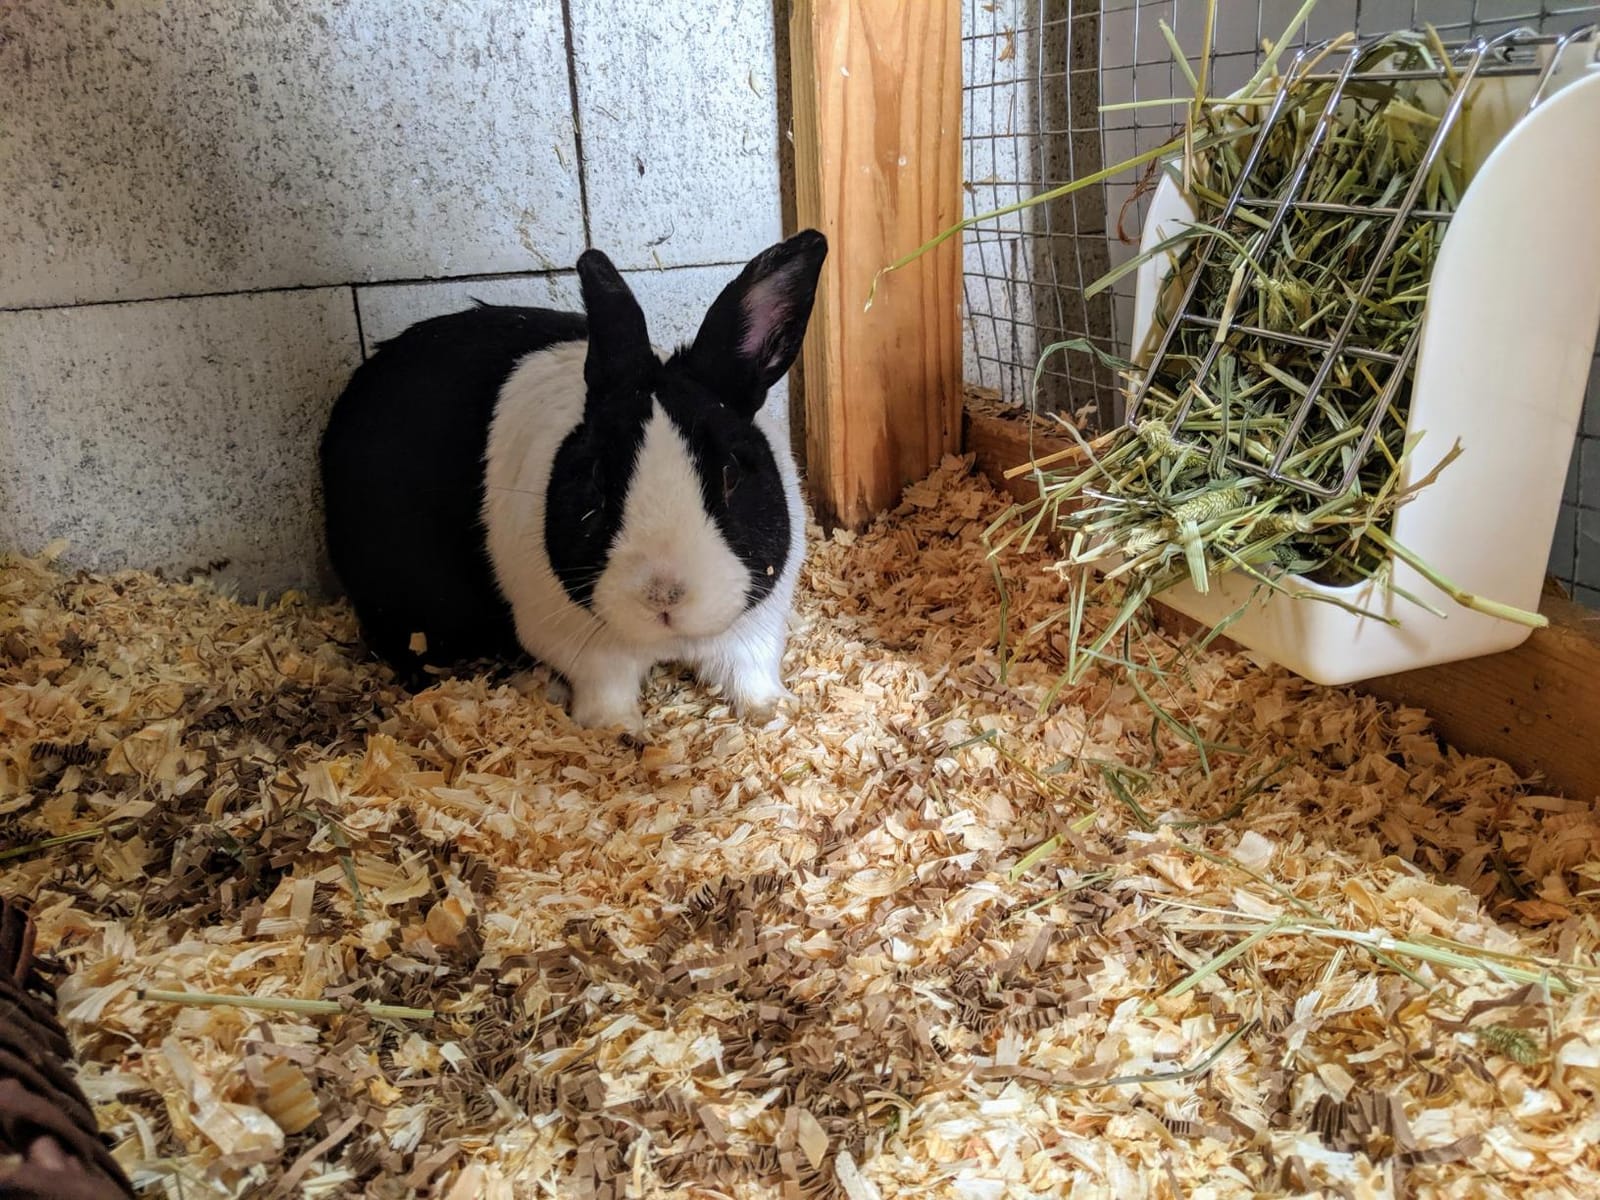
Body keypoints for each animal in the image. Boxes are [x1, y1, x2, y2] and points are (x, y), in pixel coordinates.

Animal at [320, 229, 828, 733]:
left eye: (730, 474)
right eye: (599, 478)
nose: (663, 595)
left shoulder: (756, 629)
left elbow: (750, 674)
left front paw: (775, 711)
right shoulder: (584, 649)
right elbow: (607, 691)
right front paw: (621, 734)